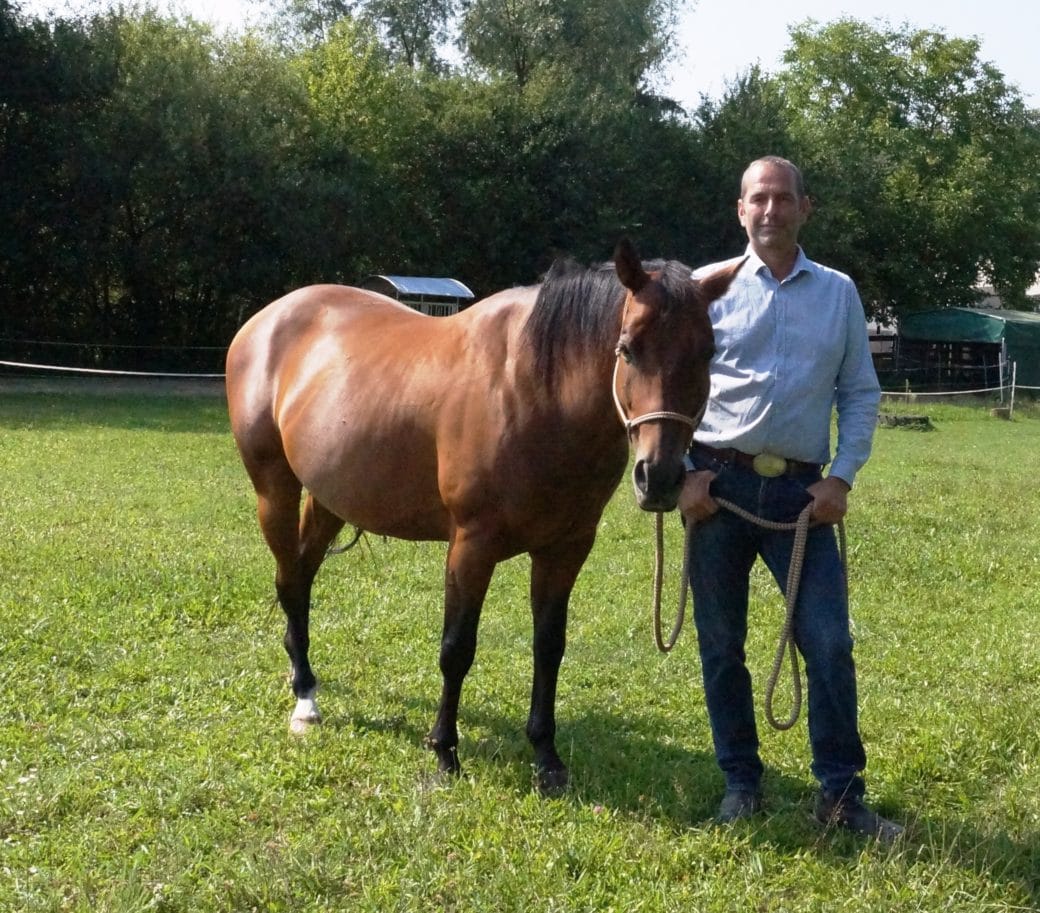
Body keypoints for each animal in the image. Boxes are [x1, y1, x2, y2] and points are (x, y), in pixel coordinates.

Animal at [225, 239, 740, 793]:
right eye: (627, 348)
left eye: (708, 353)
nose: (659, 478)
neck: (533, 388)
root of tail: (265, 320)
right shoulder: (472, 546)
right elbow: (457, 648)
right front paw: (444, 753)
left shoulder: (566, 549)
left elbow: (549, 647)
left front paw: (547, 758)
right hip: (274, 489)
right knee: (288, 581)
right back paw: (304, 698)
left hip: (329, 499)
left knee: (300, 578)